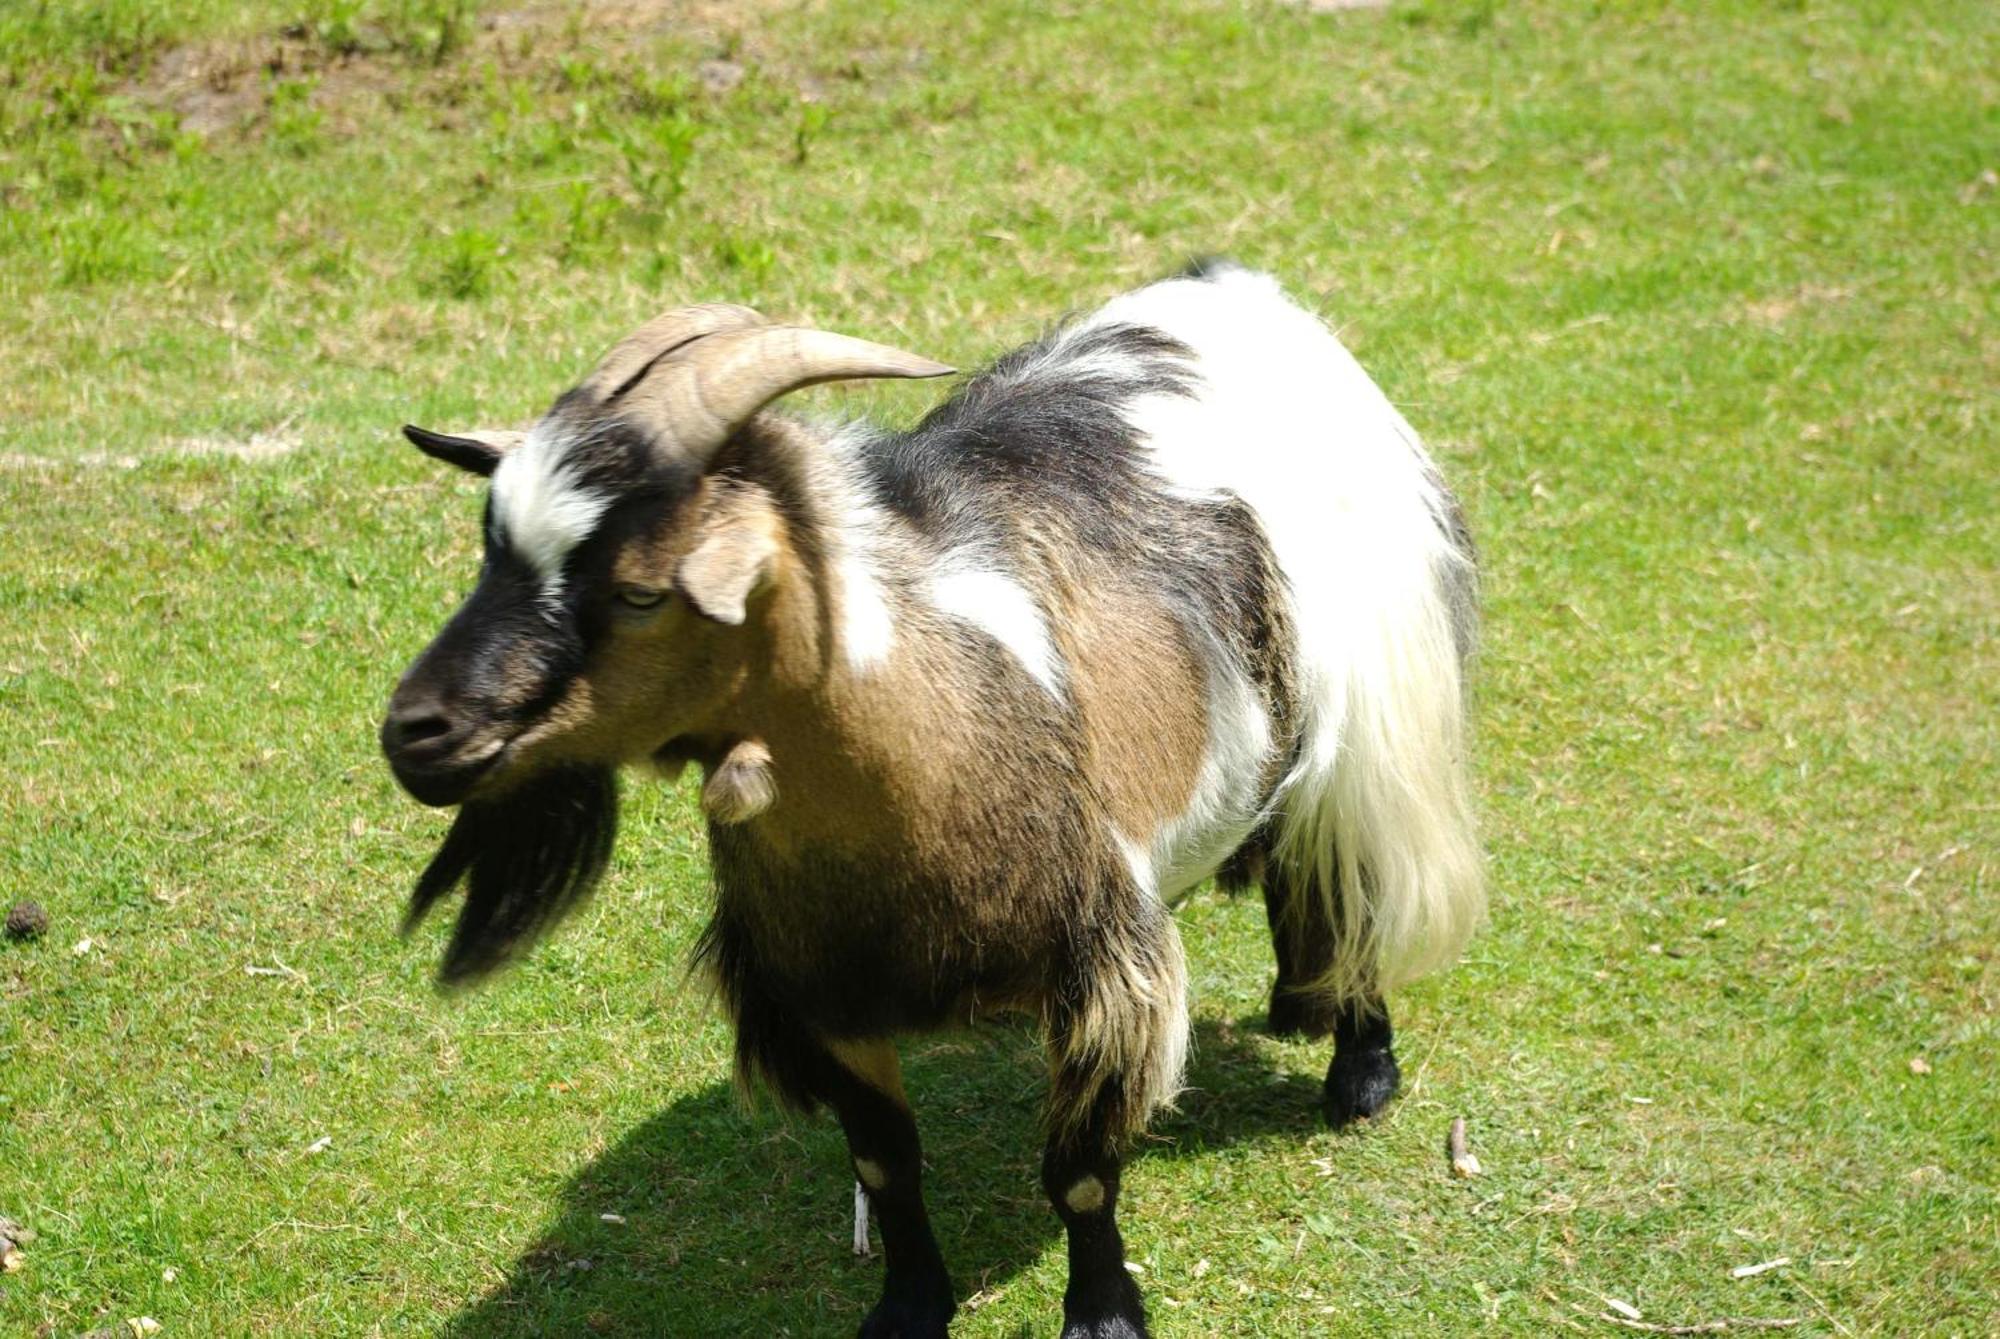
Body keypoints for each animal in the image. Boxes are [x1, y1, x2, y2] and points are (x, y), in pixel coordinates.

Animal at [378, 265, 1488, 1339]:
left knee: (1348, 863)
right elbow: (884, 1166)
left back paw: (1357, 1065)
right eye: (491, 551)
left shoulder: (1100, 967)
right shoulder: (820, 992)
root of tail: (1233, 288)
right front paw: (908, 1307)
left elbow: (1079, 1177)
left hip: (1371, 711)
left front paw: (1104, 1315)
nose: (415, 732)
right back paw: (1298, 1003)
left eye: (641, 591)